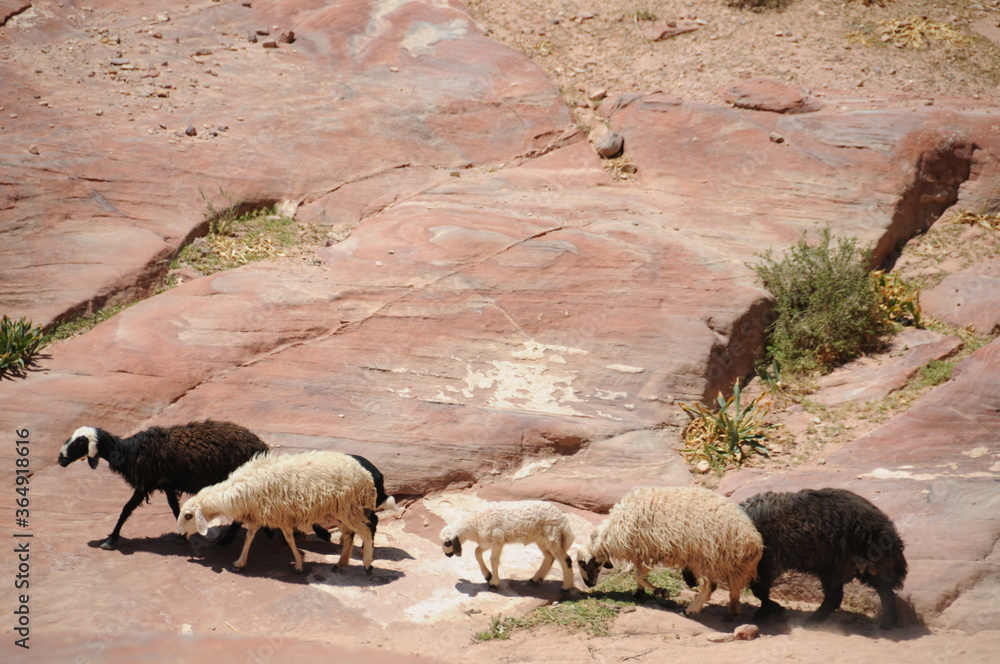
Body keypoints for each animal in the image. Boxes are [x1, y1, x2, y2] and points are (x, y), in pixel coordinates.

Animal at [57, 420, 269, 550]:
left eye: (79, 443)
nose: (60, 459)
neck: (129, 451)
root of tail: (260, 446)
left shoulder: (145, 484)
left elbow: (126, 509)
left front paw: (110, 539)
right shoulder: (167, 484)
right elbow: (175, 508)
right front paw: (182, 534)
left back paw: (226, 541)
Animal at [177, 449, 377, 574]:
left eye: (188, 516)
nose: (180, 535)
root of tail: (365, 474)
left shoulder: (280, 515)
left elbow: (289, 539)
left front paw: (298, 564)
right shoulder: (259, 514)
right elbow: (249, 537)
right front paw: (240, 562)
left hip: (349, 508)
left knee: (366, 532)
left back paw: (367, 564)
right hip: (336, 512)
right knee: (349, 536)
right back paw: (341, 563)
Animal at [439, 500, 575, 592]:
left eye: (447, 543)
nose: (447, 555)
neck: (474, 524)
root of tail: (564, 521)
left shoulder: (497, 540)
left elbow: (493, 560)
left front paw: (494, 583)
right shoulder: (487, 542)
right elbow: (477, 552)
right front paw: (487, 575)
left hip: (552, 535)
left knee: (565, 559)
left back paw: (566, 587)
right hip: (542, 539)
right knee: (549, 557)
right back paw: (535, 579)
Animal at [577, 486, 763, 619]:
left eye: (582, 564)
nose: (589, 585)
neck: (611, 533)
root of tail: (751, 541)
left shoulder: (644, 551)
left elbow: (638, 574)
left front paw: (660, 591)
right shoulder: (642, 552)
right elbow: (637, 575)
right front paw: (639, 592)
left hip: (704, 558)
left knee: (709, 587)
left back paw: (689, 610)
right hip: (730, 565)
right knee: (734, 589)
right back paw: (732, 611)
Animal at [738, 487, 908, 629]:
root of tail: (885, 529)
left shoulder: (765, 565)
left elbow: (760, 591)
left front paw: (770, 610)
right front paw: (771, 609)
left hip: (837, 566)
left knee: (834, 597)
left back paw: (811, 621)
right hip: (866, 566)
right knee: (884, 588)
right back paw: (889, 621)